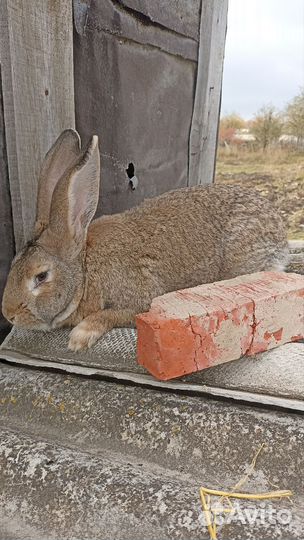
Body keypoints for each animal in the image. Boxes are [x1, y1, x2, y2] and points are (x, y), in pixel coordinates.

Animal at [2, 129, 290, 352]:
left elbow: (113, 314)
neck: (85, 272)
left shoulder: (143, 300)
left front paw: (80, 337)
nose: (8, 313)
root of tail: (280, 237)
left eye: (41, 276)